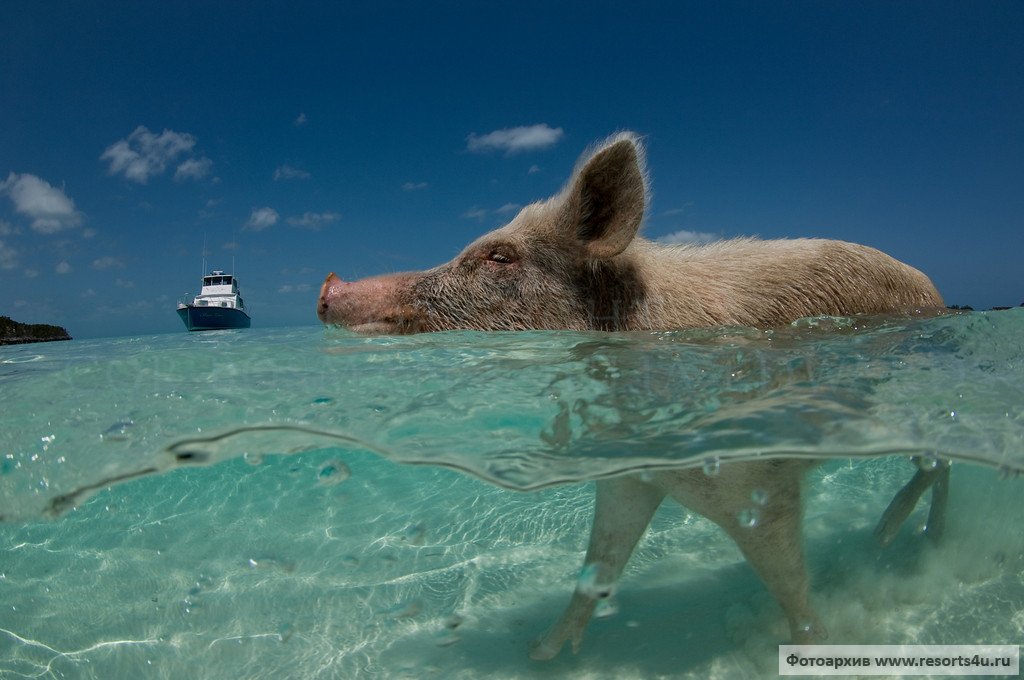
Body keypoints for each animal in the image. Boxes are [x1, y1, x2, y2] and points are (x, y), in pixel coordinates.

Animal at [313, 131, 942, 659]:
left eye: (499, 256)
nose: (329, 284)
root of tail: (932, 287)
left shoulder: (760, 486)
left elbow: (791, 587)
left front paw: (811, 647)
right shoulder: (629, 477)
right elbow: (601, 559)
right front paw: (542, 653)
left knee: (937, 465)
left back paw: (897, 539)